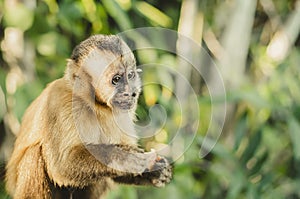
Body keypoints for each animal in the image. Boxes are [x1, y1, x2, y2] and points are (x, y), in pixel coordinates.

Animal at [4, 35, 172, 198]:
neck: (95, 104)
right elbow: (63, 165)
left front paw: (156, 171)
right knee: (35, 153)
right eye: (116, 79)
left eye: (130, 76)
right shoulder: (61, 103)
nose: (131, 93)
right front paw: (129, 158)